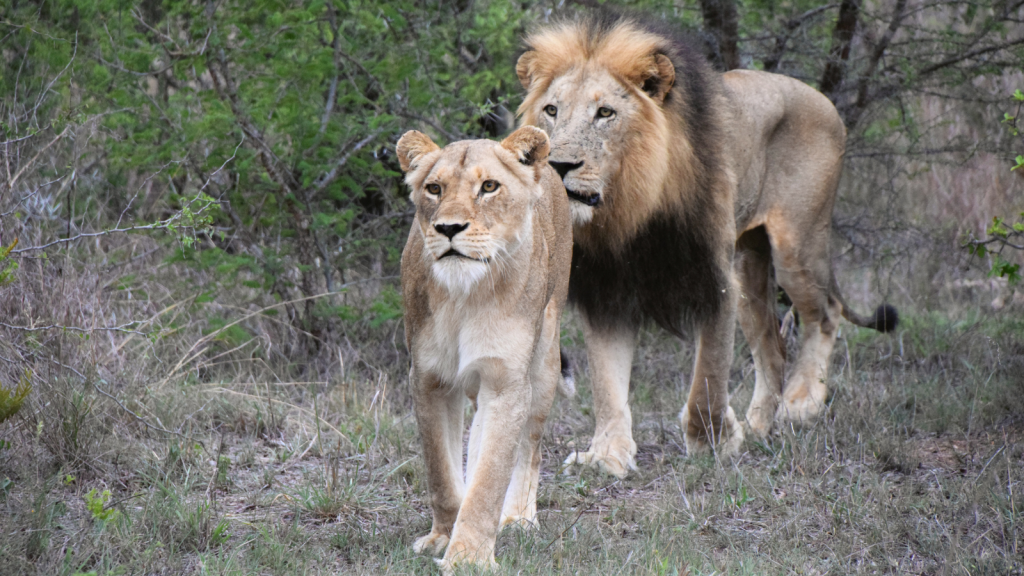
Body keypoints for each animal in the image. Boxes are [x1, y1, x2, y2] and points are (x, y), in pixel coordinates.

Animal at [397, 125, 577, 569]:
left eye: (489, 187)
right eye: (434, 188)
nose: (448, 228)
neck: (465, 296)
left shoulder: (506, 382)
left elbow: (491, 476)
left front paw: (469, 558)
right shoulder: (428, 378)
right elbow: (442, 474)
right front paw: (443, 538)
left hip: (544, 364)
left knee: (529, 446)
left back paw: (519, 518)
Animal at [516, 13, 892, 475]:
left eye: (605, 113)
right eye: (552, 110)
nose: (558, 164)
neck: (629, 210)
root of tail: (822, 99)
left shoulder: (715, 278)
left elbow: (708, 376)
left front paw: (714, 440)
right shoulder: (608, 291)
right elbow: (607, 383)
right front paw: (606, 455)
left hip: (797, 244)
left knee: (825, 313)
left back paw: (802, 404)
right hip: (750, 264)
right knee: (773, 347)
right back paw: (758, 426)